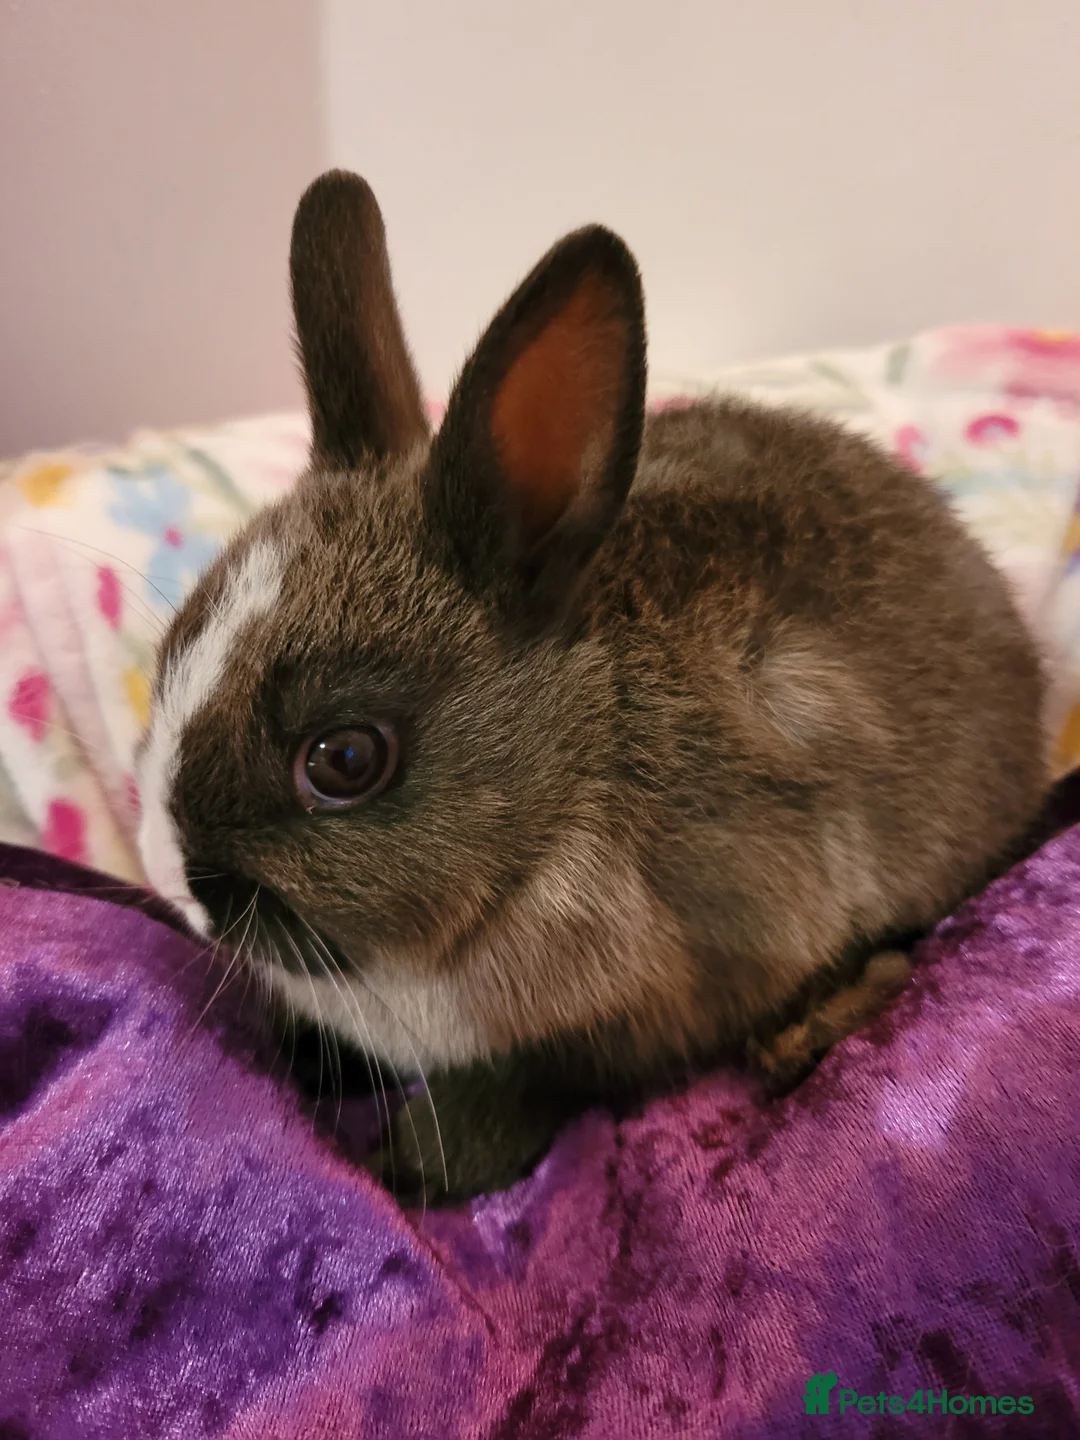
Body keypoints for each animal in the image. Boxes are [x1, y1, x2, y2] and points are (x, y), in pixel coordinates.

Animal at [136, 169, 1047, 1202]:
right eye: (173, 651)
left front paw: (410, 1161)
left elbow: (547, 1079)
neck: (564, 783)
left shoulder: (671, 992)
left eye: (345, 759)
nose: (170, 874)